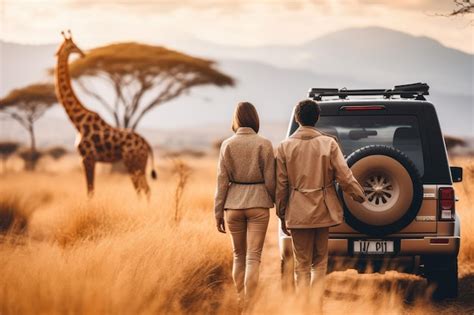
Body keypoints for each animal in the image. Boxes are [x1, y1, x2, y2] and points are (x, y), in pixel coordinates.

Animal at [54, 30, 156, 198]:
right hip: (139, 164)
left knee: (143, 189)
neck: (77, 121)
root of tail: (147, 144)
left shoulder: (87, 158)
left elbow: (90, 191)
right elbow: (91, 190)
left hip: (133, 163)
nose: (82, 53)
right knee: (145, 189)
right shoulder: (88, 159)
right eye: (72, 46)